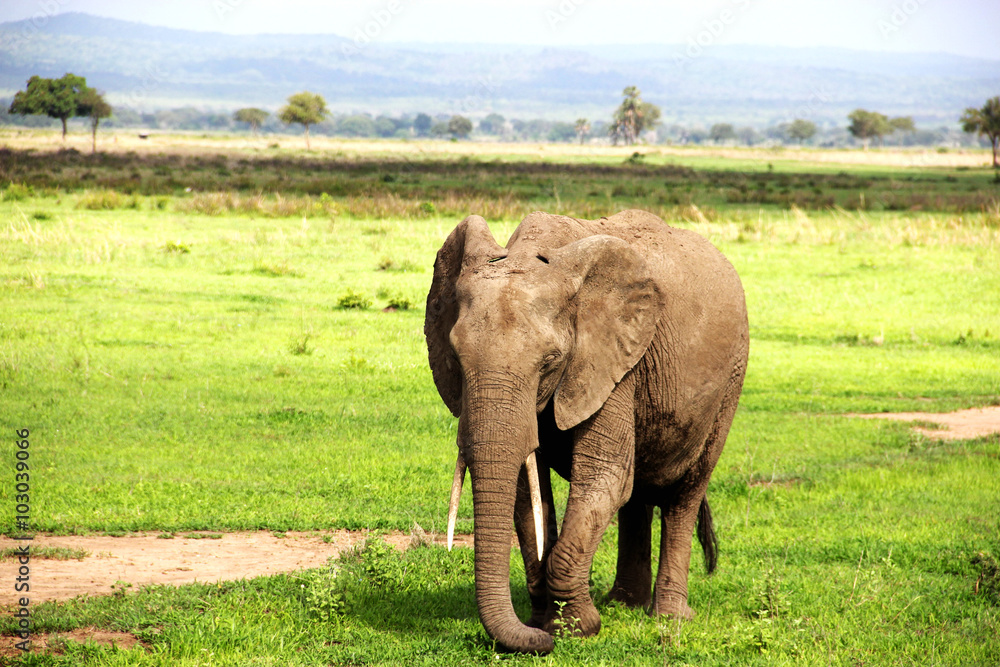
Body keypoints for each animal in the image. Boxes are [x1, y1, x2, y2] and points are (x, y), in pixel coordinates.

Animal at [424, 209, 749, 654]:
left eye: (550, 360)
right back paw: (624, 604)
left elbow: (602, 476)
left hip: (730, 381)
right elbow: (527, 490)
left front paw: (576, 628)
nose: (537, 639)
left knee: (684, 494)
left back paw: (669, 617)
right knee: (636, 495)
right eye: (456, 358)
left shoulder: (614, 363)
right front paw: (544, 622)